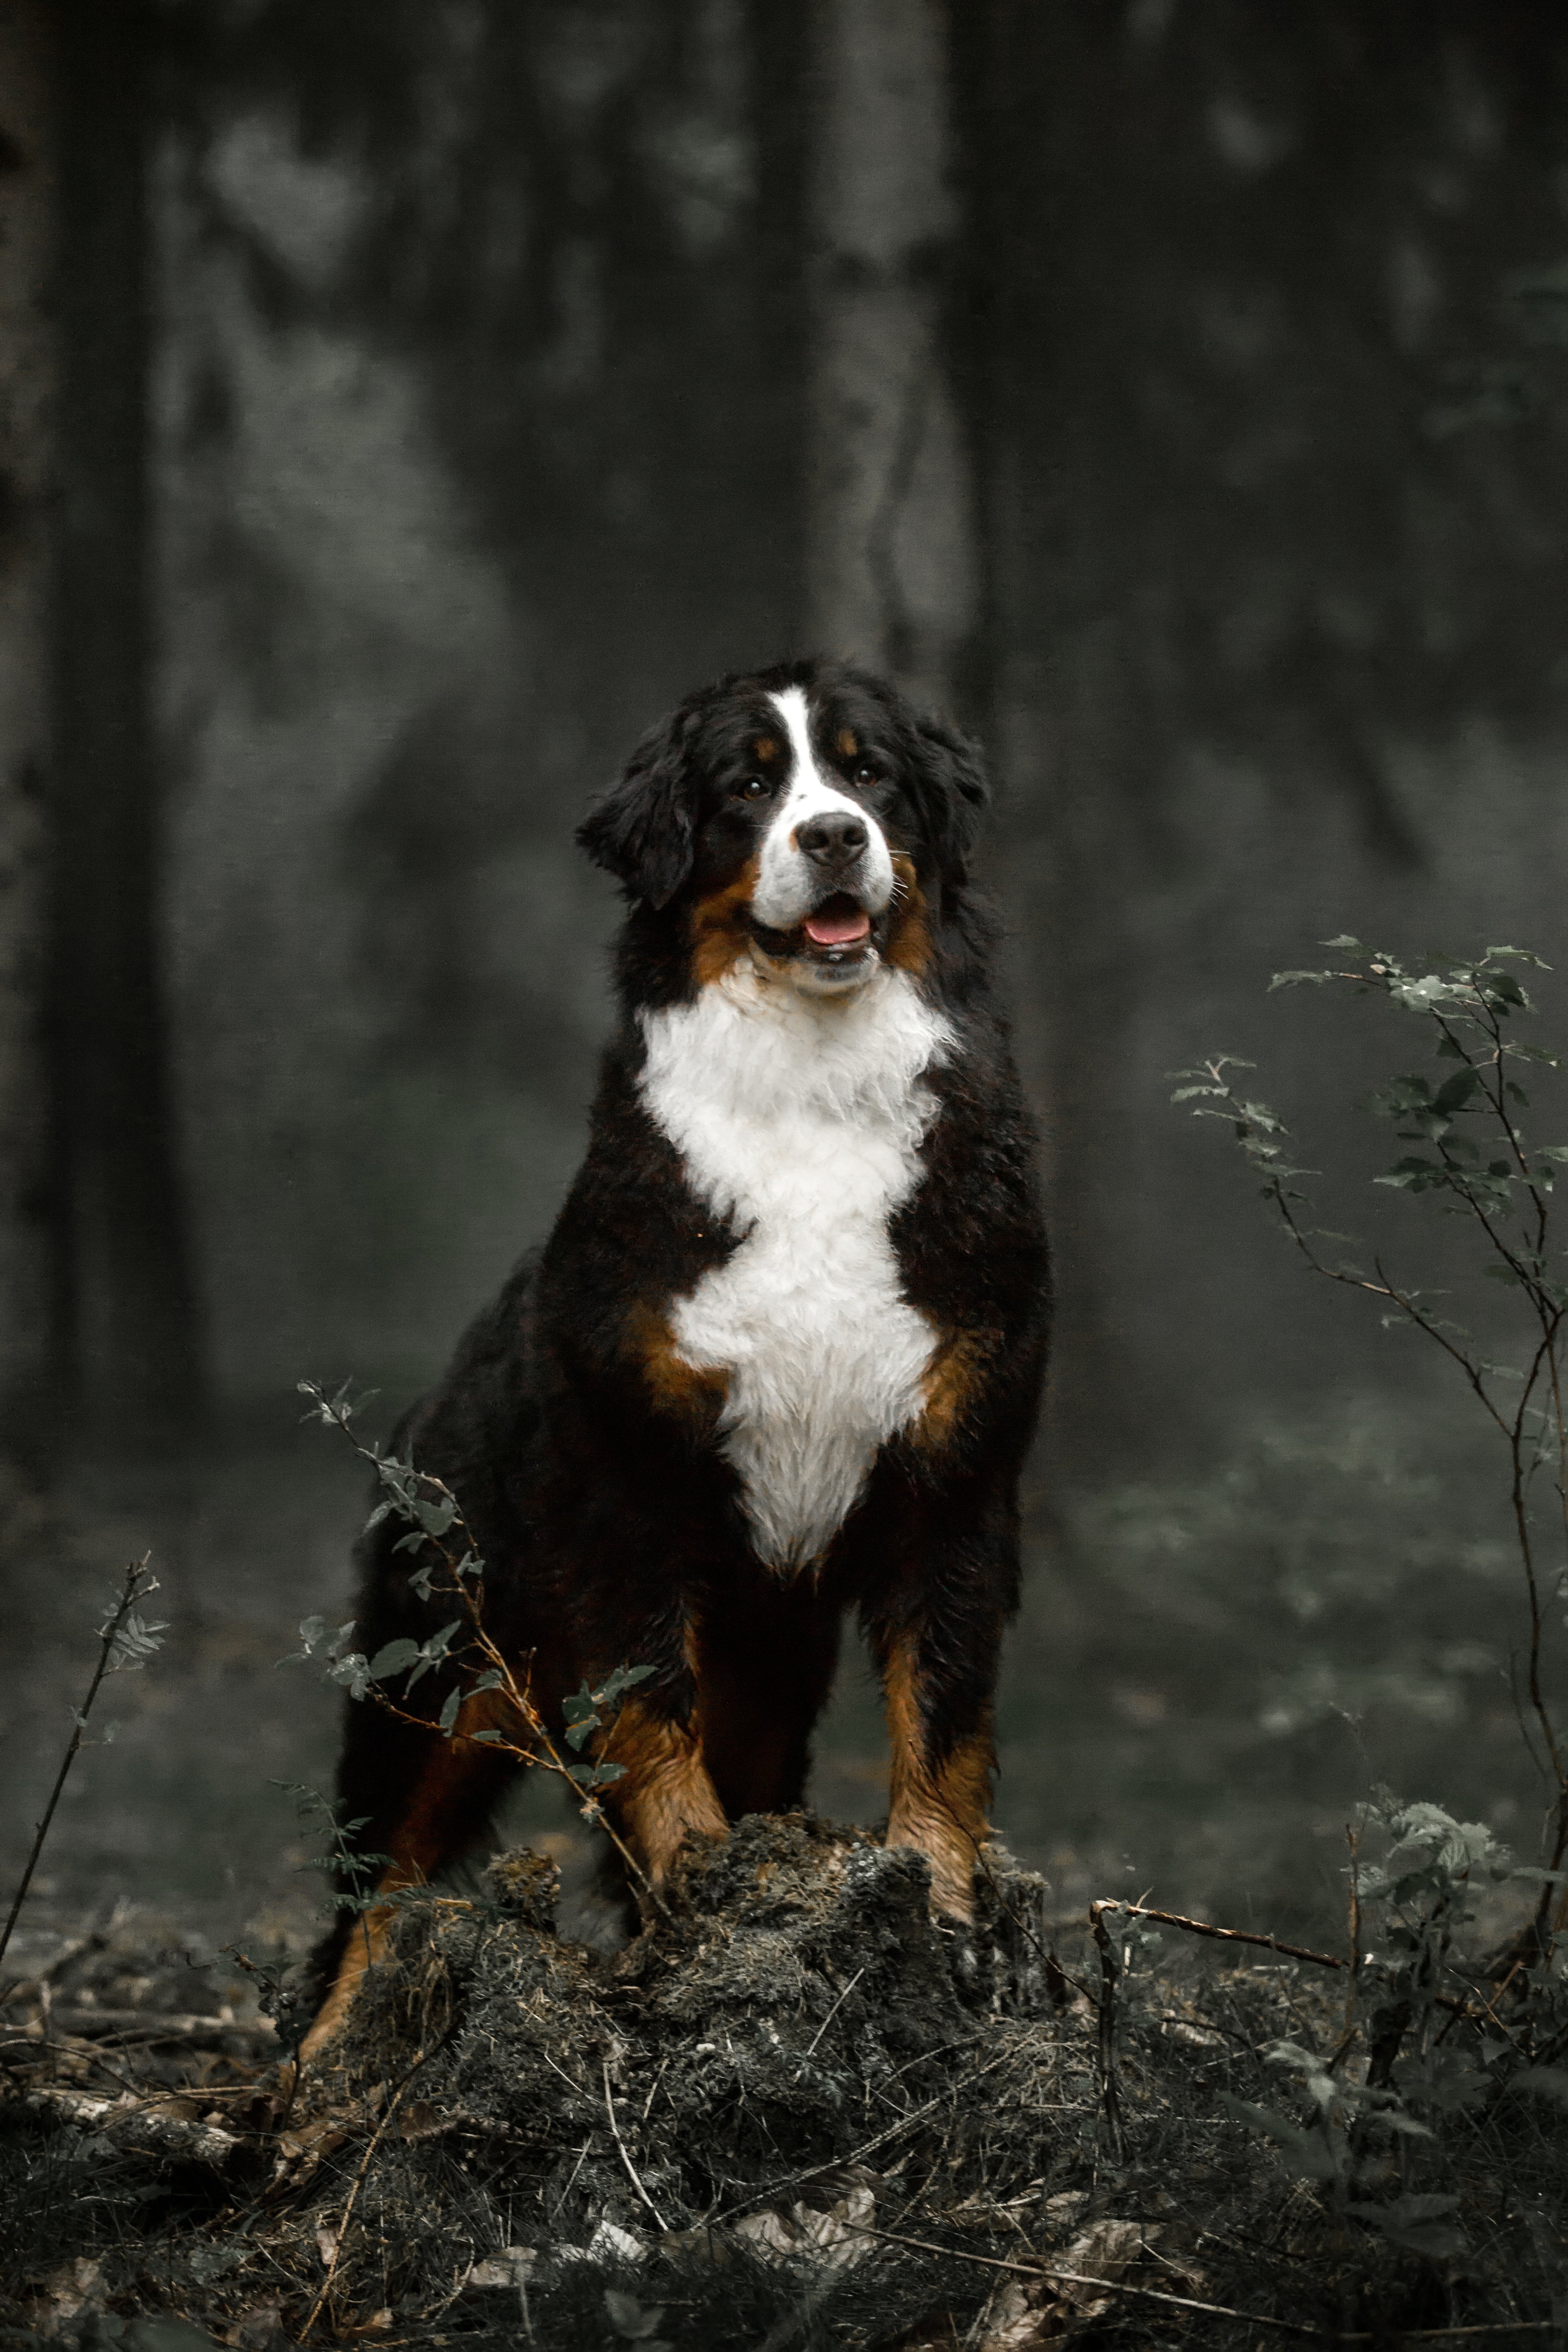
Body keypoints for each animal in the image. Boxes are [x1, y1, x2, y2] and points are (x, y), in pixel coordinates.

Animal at [301, 654, 1048, 2051]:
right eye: (747, 788)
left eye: (869, 774)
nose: (832, 837)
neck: (814, 1094)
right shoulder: (626, 1486)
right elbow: (650, 1717)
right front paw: (705, 1894)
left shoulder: (958, 1480)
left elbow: (945, 1722)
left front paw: (949, 1917)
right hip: (439, 1673)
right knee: (377, 1895)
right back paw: (322, 2067)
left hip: (759, 1655)